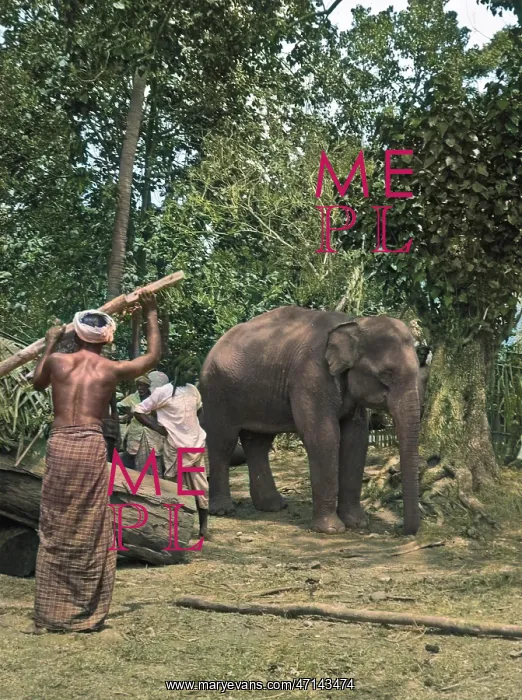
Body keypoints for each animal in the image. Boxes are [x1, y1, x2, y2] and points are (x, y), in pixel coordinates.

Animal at [199, 305, 422, 536]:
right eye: (386, 375)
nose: (399, 528)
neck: (355, 322)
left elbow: (355, 439)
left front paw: (358, 524)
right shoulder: (311, 376)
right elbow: (324, 436)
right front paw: (331, 530)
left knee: (258, 443)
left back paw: (273, 506)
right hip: (216, 391)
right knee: (223, 442)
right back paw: (224, 510)